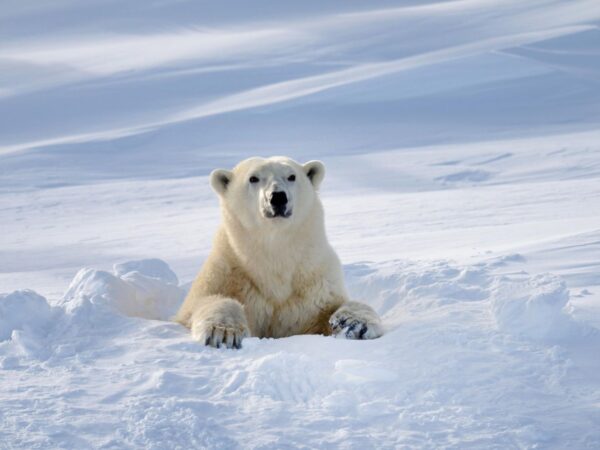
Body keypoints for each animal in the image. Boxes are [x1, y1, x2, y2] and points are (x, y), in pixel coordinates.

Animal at [173, 156, 382, 350]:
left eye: (291, 176)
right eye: (253, 178)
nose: (278, 197)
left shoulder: (313, 281)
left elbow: (331, 309)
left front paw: (353, 324)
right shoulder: (227, 272)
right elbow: (201, 304)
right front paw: (224, 332)